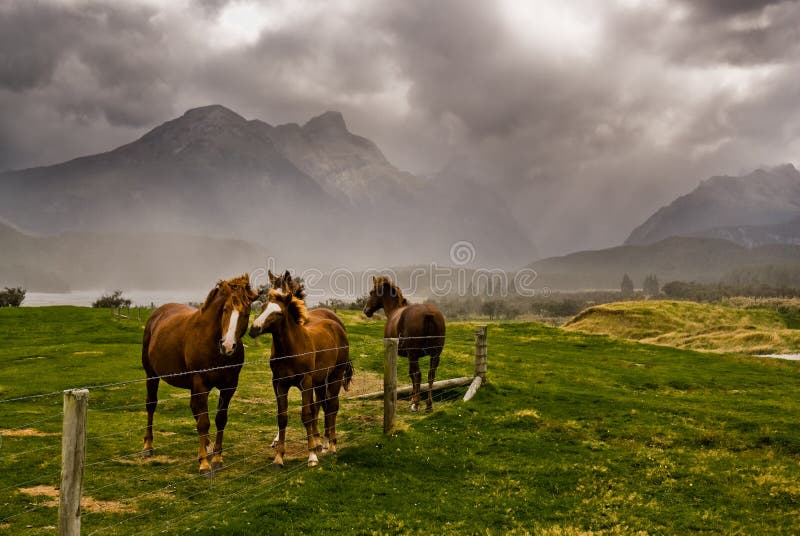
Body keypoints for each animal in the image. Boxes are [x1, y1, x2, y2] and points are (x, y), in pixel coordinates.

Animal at [141, 276, 258, 474]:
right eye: (225, 309)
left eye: (246, 313)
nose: (228, 346)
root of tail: (157, 314)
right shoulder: (200, 383)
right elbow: (204, 421)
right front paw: (204, 463)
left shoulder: (229, 386)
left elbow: (220, 419)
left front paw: (217, 457)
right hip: (152, 375)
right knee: (151, 405)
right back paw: (148, 446)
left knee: (195, 409)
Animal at [248, 286, 352, 466]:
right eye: (262, 307)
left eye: (279, 313)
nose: (254, 328)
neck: (292, 349)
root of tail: (336, 325)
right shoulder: (280, 383)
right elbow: (282, 418)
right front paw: (279, 457)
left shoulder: (305, 382)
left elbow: (307, 415)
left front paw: (312, 456)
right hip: (320, 380)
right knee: (324, 404)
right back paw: (324, 442)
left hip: (335, 375)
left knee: (332, 406)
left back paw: (331, 445)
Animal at [362, 276, 444, 410]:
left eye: (371, 292)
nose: (366, 310)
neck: (394, 311)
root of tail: (428, 313)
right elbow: (412, 375)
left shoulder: (410, 355)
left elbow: (412, 375)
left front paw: (413, 399)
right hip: (435, 355)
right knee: (431, 375)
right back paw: (429, 404)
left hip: (414, 354)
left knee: (418, 374)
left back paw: (416, 404)